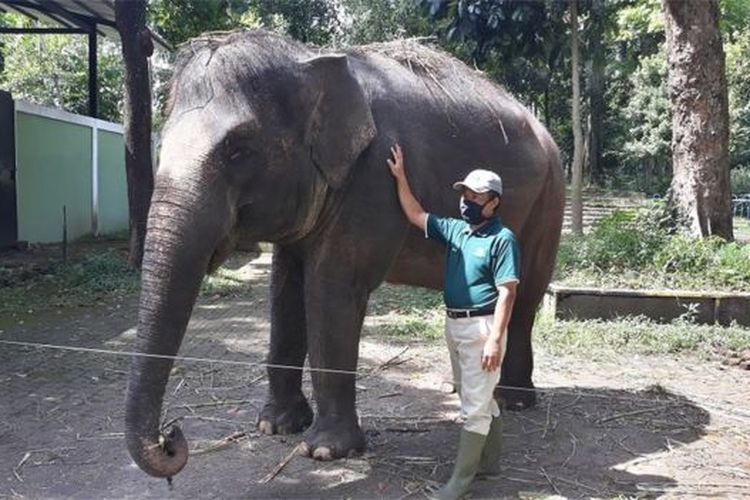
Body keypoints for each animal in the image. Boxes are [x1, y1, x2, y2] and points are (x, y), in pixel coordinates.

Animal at [128, 29, 564, 478]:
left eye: (237, 149)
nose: (171, 436)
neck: (307, 59)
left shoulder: (372, 179)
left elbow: (331, 289)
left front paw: (325, 451)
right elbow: (285, 288)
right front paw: (276, 425)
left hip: (550, 199)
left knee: (525, 295)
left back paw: (513, 400)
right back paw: (462, 390)